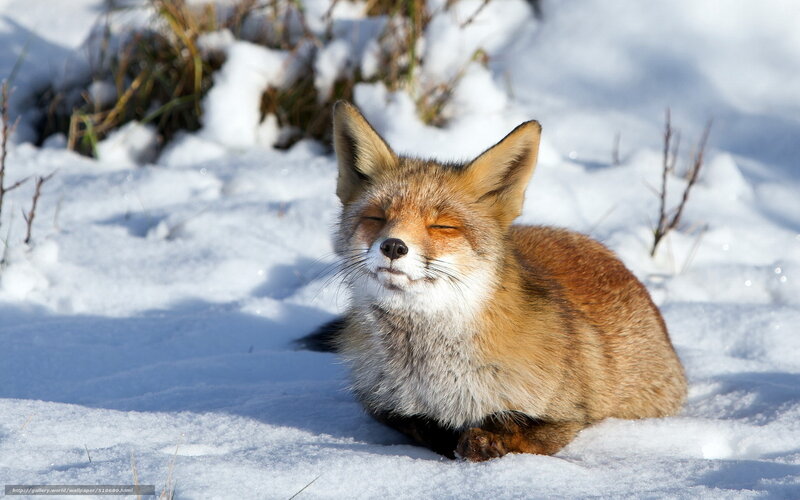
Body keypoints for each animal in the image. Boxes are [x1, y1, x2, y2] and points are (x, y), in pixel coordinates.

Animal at [320, 101, 687, 461]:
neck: (430, 374)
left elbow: (523, 429)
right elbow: (423, 426)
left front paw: (486, 440)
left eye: (442, 226)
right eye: (376, 217)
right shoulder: (383, 405)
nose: (393, 246)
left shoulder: (571, 414)